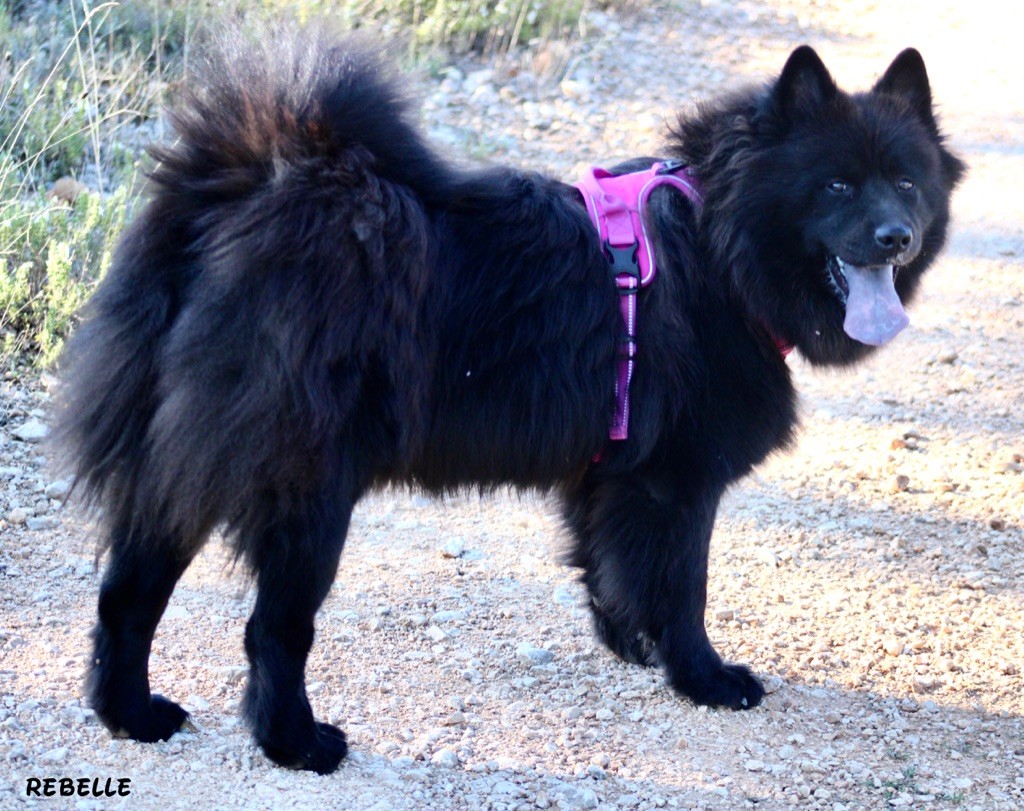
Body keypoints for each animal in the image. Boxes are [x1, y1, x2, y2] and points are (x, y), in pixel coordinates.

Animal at [56, 23, 962, 774]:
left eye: (905, 183)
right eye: (836, 186)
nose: (897, 238)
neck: (720, 242)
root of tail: (244, 189)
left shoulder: (612, 473)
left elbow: (612, 569)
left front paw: (630, 642)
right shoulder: (678, 479)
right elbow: (685, 587)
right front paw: (703, 676)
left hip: (179, 460)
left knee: (127, 594)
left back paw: (131, 715)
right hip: (306, 487)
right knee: (271, 629)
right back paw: (298, 745)